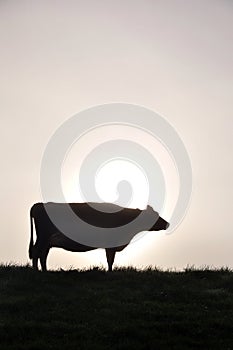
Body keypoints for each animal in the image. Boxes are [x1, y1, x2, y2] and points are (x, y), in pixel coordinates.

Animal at [29, 202, 169, 270]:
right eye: (155, 215)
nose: (167, 224)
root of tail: (39, 204)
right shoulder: (111, 244)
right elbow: (110, 260)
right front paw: (110, 273)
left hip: (47, 241)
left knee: (42, 255)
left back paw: (44, 271)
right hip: (43, 238)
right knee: (36, 253)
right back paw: (36, 272)